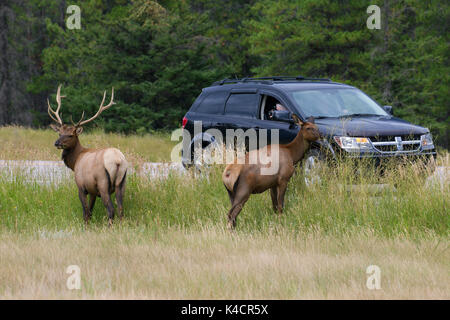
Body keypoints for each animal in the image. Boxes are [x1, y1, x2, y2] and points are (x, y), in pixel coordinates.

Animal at [48, 84, 127, 226]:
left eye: (71, 135)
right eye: (59, 133)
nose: (57, 143)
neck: (75, 161)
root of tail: (118, 161)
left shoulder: (81, 186)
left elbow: (85, 212)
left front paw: (85, 227)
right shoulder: (93, 191)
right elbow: (90, 211)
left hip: (103, 183)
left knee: (111, 209)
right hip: (121, 182)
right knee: (121, 210)